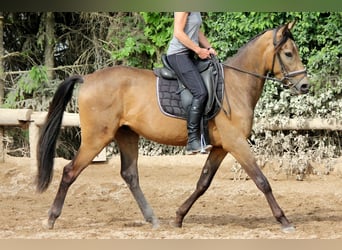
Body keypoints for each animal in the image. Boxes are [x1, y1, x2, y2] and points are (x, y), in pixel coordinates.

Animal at [36, 21, 310, 232]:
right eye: (288, 53)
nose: (305, 86)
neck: (236, 84)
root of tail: (87, 78)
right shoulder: (236, 143)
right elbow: (262, 181)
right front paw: (284, 221)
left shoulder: (221, 147)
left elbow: (203, 183)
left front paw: (179, 217)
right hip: (96, 138)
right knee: (70, 172)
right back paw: (50, 219)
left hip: (126, 135)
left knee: (130, 175)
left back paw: (153, 219)